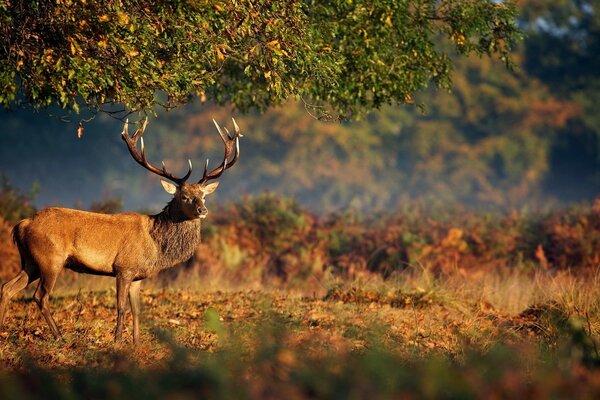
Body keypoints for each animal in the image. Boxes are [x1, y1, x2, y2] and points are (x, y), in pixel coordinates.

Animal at [0, 118, 241, 344]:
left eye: (204, 195)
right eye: (184, 196)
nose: (203, 210)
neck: (155, 246)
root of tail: (22, 224)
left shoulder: (138, 275)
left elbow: (137, 309)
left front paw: (136, 343)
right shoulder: (123, 268)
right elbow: (121, 307)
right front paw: (117, 341)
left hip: (30, 261)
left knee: (7, 287)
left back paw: (3, 332)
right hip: (51, 259)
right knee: (40, 296)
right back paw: (59, 336)